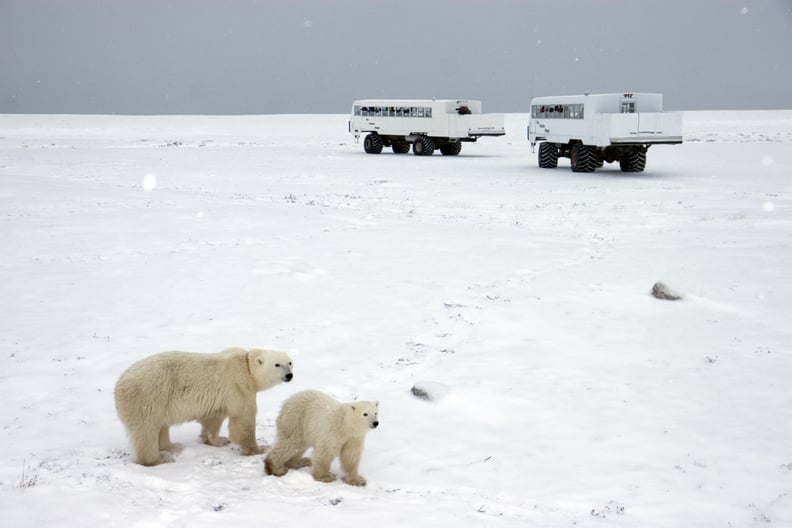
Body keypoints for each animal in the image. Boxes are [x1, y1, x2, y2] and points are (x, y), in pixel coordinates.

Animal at [114, 346, 294, 466]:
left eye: (290, 362)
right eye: (277, 364)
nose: (289, 375)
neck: (246, 365)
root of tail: (119, 385)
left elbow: (213, 417)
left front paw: (217, 439)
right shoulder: (238, 385)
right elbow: (243, 420)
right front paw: (258, 449)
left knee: (160, 426)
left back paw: (172, 447)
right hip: (148, 396)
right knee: (147, 430)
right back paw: (160, 458)